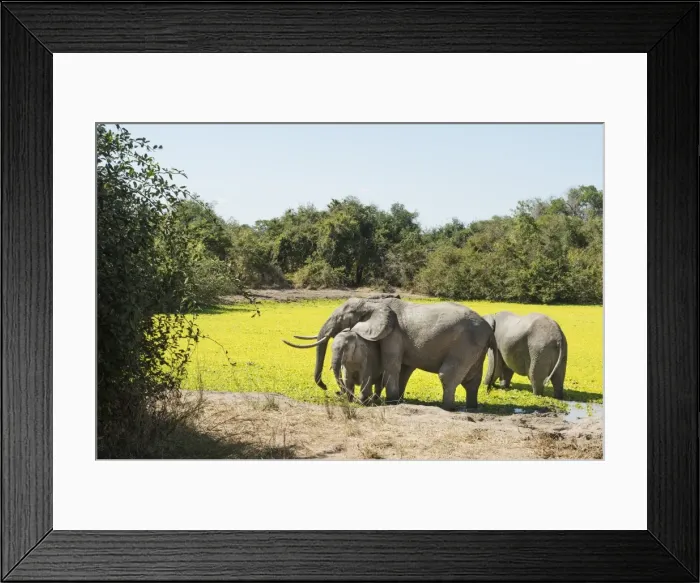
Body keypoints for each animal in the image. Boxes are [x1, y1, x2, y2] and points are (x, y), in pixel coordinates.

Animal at [282, 296, 497, 410]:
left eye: (341, 318)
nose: (327, 388)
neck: (373, 303)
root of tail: (489, 328)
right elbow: (403, 368)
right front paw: (397, 400)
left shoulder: (392, 334)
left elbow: (392, 364)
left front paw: (391, 401)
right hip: (476, 348)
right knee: (472, 381)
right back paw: (471, 407)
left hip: (465, 345)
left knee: (448, 376)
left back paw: (447, 408)